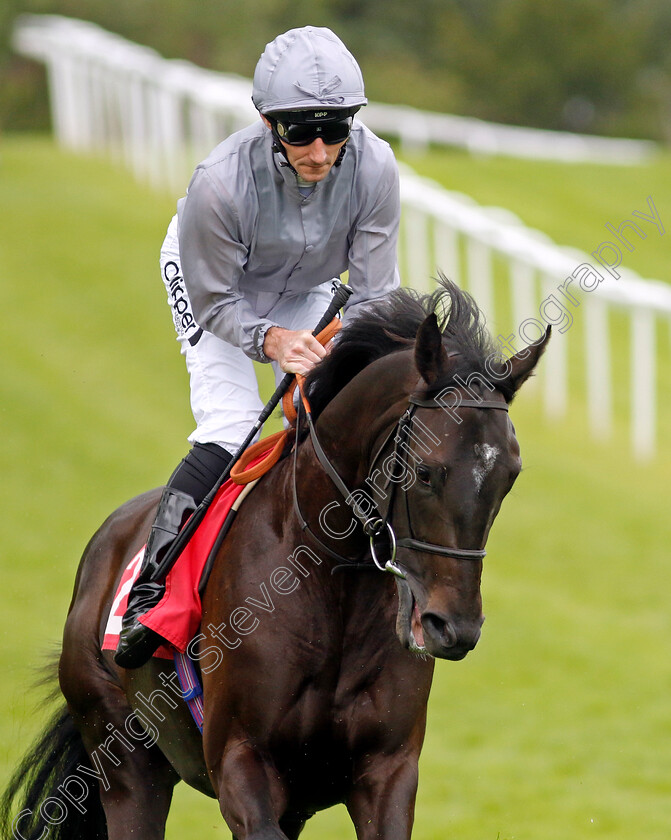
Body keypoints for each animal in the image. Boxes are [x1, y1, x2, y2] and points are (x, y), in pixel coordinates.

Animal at [1, 282, 544, 840]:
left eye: (510, 476)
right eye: (427, 471)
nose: (453, 627)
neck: (331, 583)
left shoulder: (386, 770)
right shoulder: (243, 764)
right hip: (125, 763)